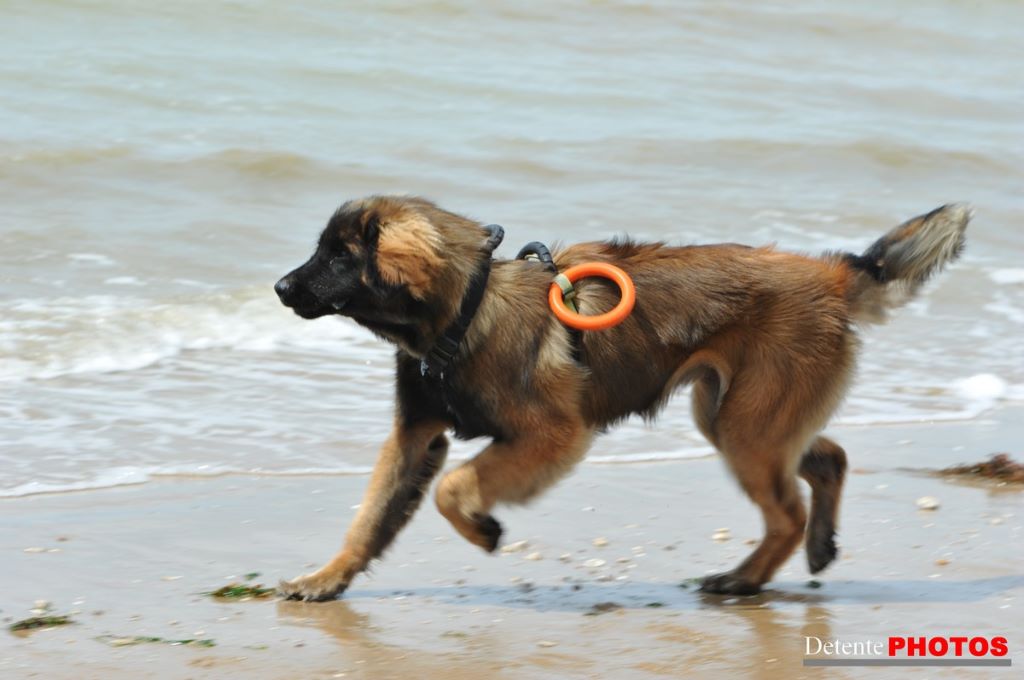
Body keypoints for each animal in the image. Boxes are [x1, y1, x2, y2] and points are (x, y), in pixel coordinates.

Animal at [274, 196, 969, 601]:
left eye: (339, 255)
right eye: (321, 251)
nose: (280, 288)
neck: (465, 311)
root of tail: (831, 274)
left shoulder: (551, 434)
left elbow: (455, 487)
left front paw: (484, 529)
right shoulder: (415, 435)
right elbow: (370, 517)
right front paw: (327, 578)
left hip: (747, 425)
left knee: (788, 511)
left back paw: (744, 578)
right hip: (736, 413)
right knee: (828, 460)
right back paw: (815, 547)